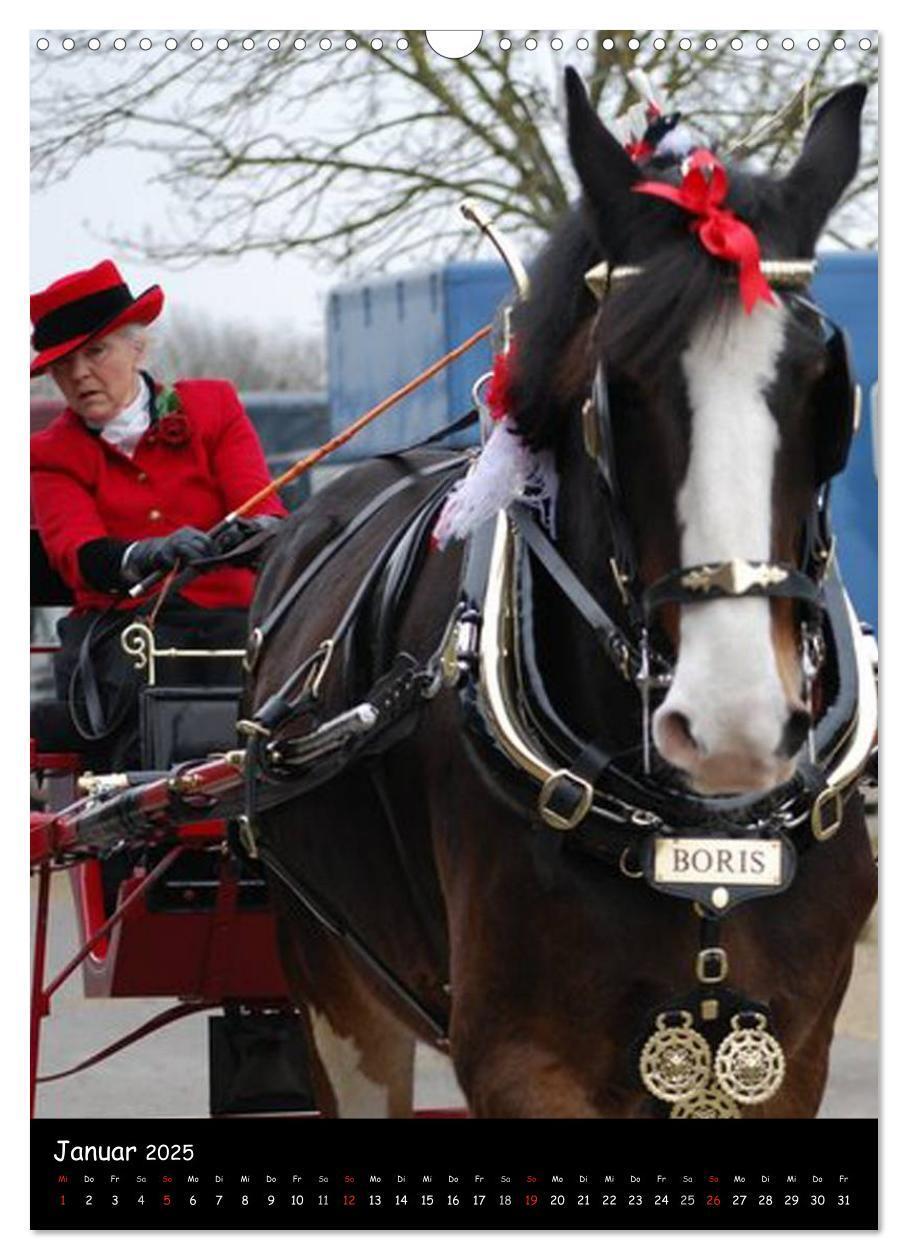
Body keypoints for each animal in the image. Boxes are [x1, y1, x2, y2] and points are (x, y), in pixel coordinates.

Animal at [244, 71, 876, 1113]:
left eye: (827, 385)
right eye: (616, 385)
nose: (734, 723)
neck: (690, 835)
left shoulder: (790, 1053)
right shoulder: (520, 1057)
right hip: (335, 985)